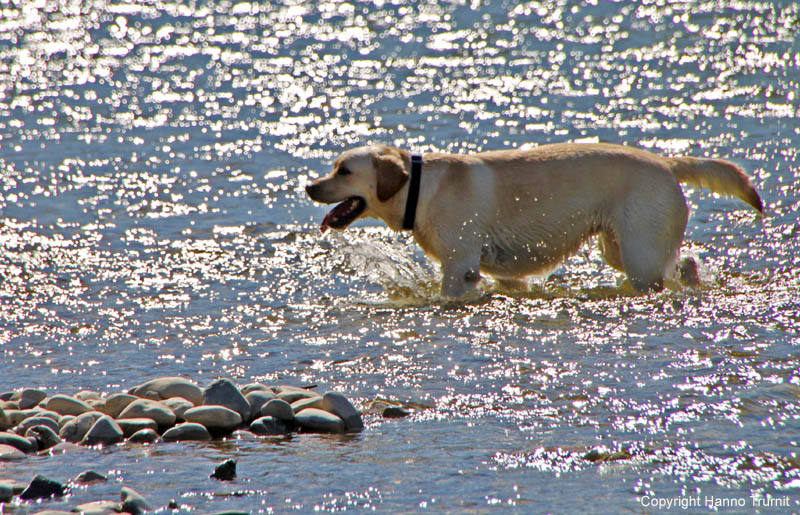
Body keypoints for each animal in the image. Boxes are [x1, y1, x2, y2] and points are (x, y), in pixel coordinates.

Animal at [306, 144, 764, 298]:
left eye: (344, 170)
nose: (309, 186)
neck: (420, 188)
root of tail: (668, 162)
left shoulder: (459, 268)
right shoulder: (503, 273)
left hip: (639, 254)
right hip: (625, 248)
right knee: (684, 261)